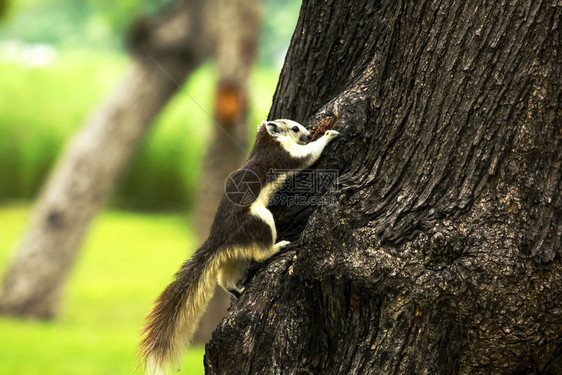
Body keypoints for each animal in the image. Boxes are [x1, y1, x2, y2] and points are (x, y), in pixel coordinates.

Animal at [137, 119, 336, 374]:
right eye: (293, 128)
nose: (309, 133)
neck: (265, 142)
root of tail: (218, 238)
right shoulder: (285, 156)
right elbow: (309, 155)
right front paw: (328, 135)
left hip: (236, 254)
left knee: (225, 278)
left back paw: (237, 290)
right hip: (258, 220)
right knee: (261, 253)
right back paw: (278, 247)